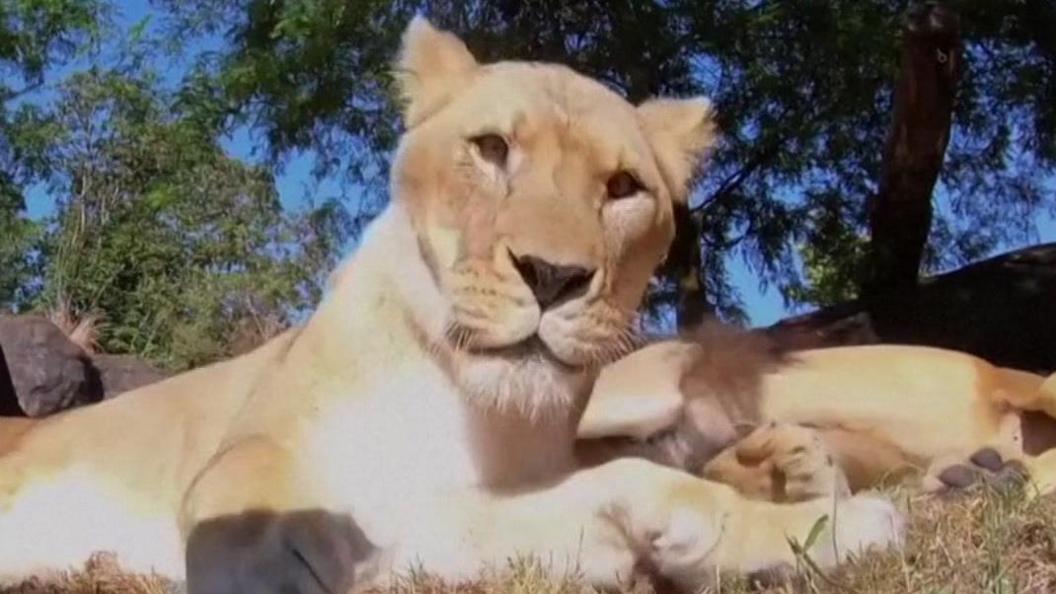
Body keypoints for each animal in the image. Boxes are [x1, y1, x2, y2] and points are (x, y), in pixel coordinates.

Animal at [0, 18, 903, 591]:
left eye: (622, 188)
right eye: (493, 149)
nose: (552, 276)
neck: (468, 403)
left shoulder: (454, 522)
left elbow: (643, 483)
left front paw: (814, 528)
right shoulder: (264, 451)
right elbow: (251, 498)